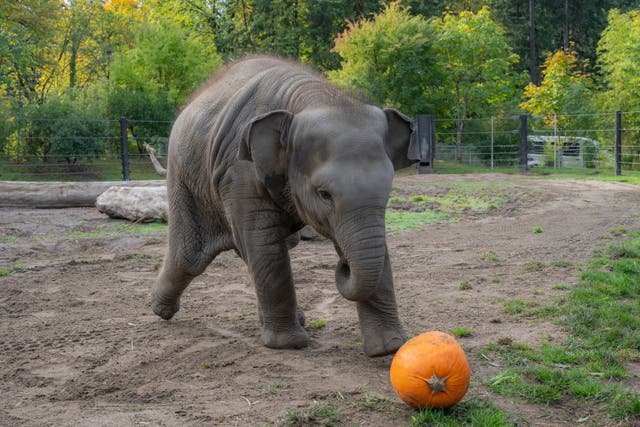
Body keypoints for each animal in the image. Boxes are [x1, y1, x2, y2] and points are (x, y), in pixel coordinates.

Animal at [151, 56, 418, 357]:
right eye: (324, 194)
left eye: (387, 191)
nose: (343, 264)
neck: (317, 98)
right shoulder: (239, 170)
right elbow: (263, 242)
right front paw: (288, 344)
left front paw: (389, 348)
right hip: (185, 176)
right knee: (190, 256)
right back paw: (160, 310)